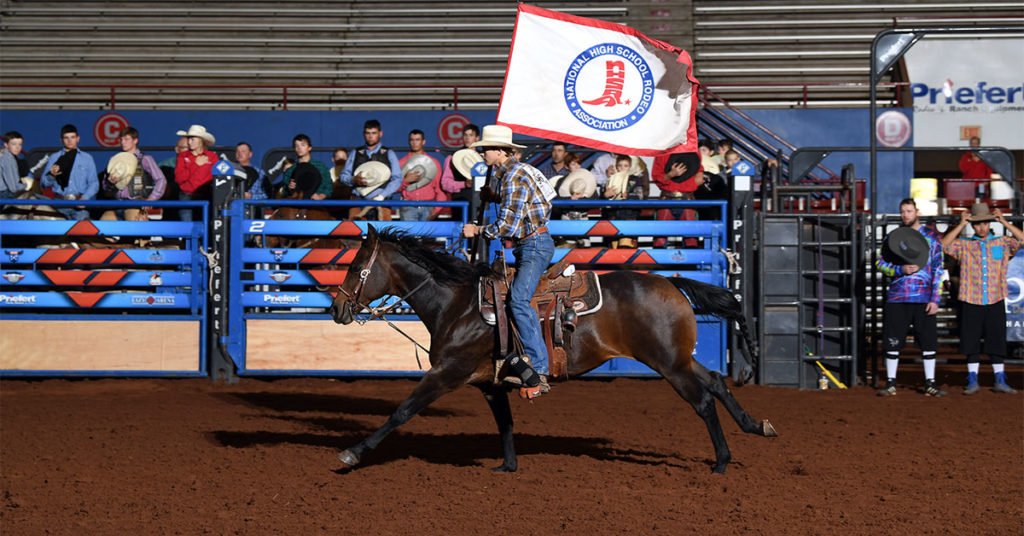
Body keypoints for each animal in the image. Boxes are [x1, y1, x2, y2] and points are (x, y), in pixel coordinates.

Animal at [327, 226, 774, 473]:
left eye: (355, 267)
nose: (336, 308)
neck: (458, 304)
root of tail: (671, 282)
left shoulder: (446, 374)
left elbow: (401, 411)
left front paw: (352, 454)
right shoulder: (491, 384)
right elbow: (505, 424)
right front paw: (507, 466)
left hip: (669, 364)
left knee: (703, 400)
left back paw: (721, 461)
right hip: (678, 358)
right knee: (716, 380)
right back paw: (756, 427)